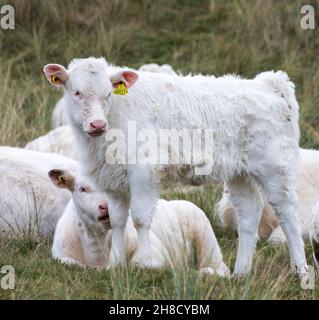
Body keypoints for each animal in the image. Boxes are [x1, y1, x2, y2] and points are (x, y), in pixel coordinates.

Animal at [49, 169, 230, 276]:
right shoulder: (61, 256)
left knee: (220, 269)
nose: (106, 207)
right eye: (82, 189)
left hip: (208, 243)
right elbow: (74, 265)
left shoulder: (156, 255)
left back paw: (206, 272)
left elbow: (138, 265)